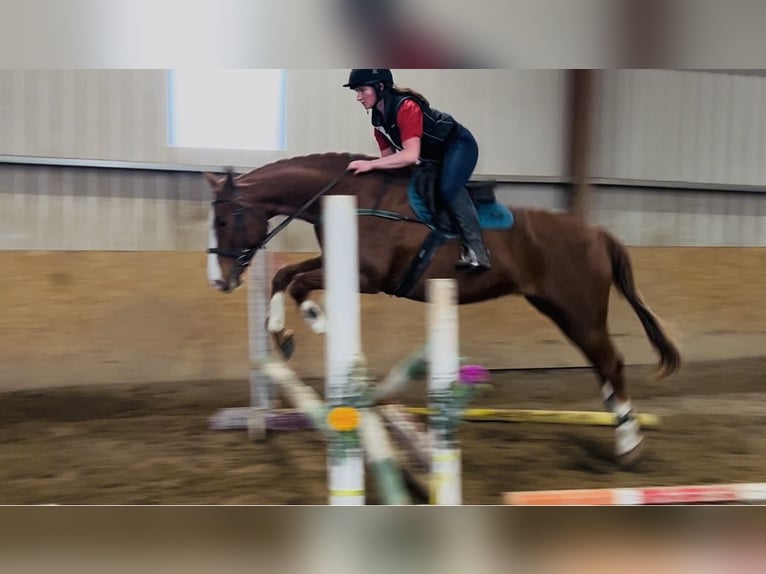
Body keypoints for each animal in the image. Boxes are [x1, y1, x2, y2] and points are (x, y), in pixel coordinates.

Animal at [204, 152, 681, 466]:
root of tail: (597, 233)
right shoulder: (343, 265)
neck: (350, 195)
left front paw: (315, 320)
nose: (220, 281)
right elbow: (286, 277)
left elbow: (299, 281)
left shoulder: (369, 278)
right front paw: (282, 333)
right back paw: (621, 427)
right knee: (602, 365)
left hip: (580, 311)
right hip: (561, 311)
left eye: (224, 221)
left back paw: (629, 446)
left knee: (611, 362)